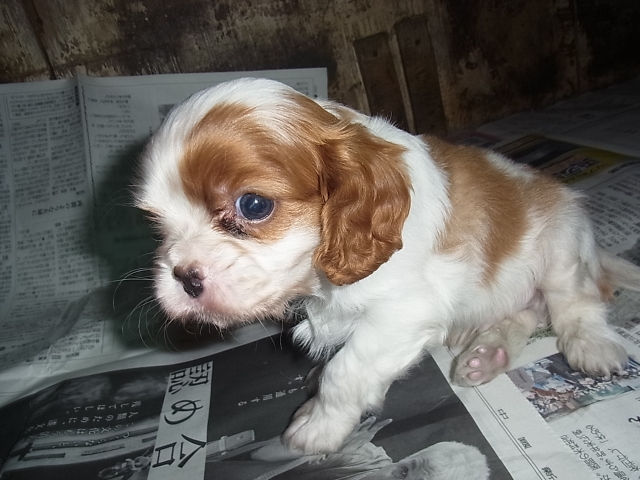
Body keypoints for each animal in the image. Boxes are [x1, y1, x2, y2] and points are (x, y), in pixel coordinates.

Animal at [135, 78, 640, 454]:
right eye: (156, 223)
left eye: (253, 205)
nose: (183, 276)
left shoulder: (402, 313)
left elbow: (343, 372)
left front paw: (318, 426)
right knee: (525, 313)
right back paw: (483, 356)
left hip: (561, 246)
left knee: (575, 301)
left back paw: (592, 344)